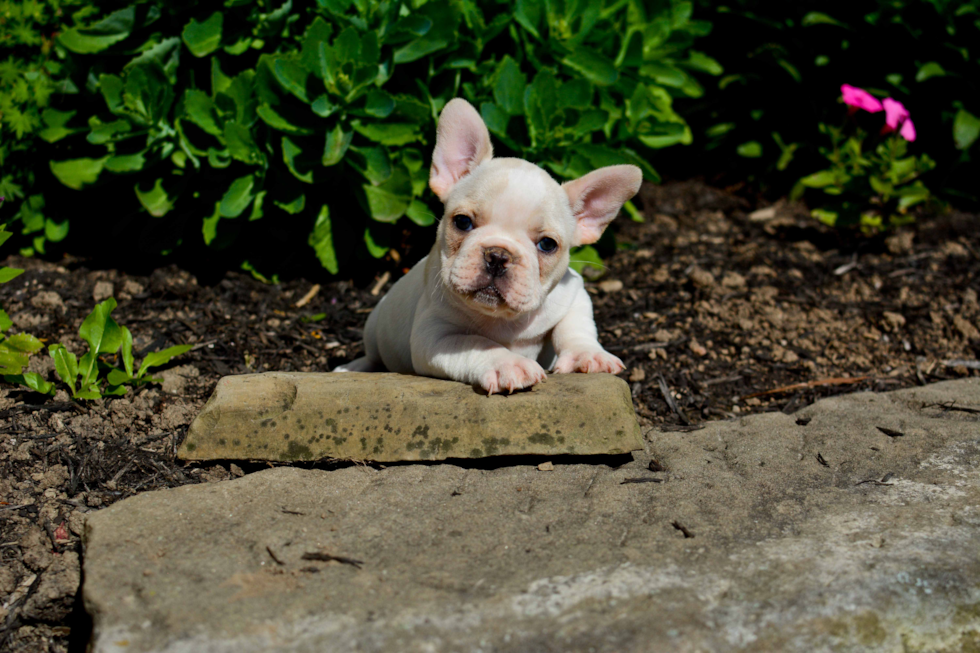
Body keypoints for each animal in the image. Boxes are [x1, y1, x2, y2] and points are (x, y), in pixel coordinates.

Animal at [336, 97, 644, 392]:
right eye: (462, 222)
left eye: (547, 244)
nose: (498, 255)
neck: (503, 320)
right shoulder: (434, 336)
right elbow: (476, 342)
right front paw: (507, 364)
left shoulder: (574, 293)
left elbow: (575, 326)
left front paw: (587, 354)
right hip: (374, 325)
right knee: (373, 354)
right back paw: (352, 368)